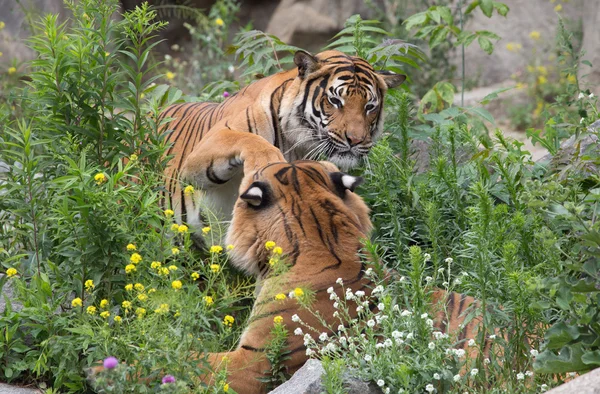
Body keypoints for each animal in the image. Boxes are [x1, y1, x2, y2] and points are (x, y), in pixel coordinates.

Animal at [157, 47, 406, 242]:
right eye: (335, 100)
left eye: (370, 106)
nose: (355, 140)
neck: (297, 145)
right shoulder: (203, 151)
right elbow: (251, 140)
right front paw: (268, 163)